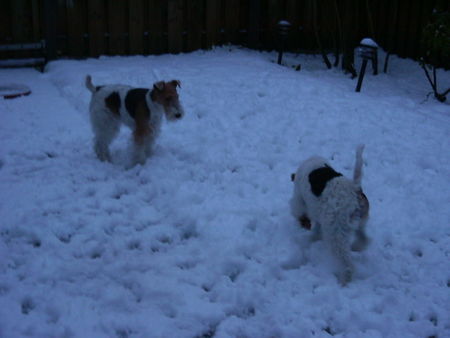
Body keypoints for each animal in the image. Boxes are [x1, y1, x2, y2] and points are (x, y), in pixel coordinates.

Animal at [292, 145, 370, 286]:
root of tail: (355, 189)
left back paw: (344, 280)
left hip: (336, 232)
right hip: (360, 222)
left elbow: (297, 208)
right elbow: (317, 227)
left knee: (347, 263)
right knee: (364, 239)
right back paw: (356, 247)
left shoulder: (299, 198)